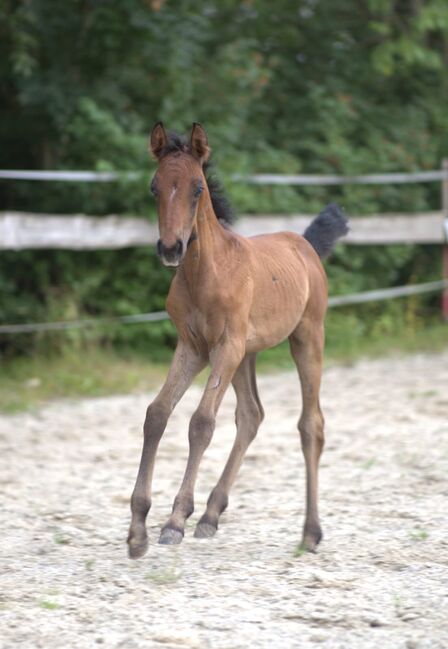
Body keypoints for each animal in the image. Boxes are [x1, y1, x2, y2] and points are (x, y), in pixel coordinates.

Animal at [126, 121, 346, 556]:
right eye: (154, 187)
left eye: (197, 188)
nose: (171, 248)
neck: (205, 273)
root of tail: (305, 245)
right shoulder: (192, 347)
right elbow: (157, 414)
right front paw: (138, 529)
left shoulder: (223, 347)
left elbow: (200, 422)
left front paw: (174, 521)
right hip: (247, 354)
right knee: (251, 415)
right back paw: (211, 515)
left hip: (306, 337)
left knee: (311, 424)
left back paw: (311, 532)